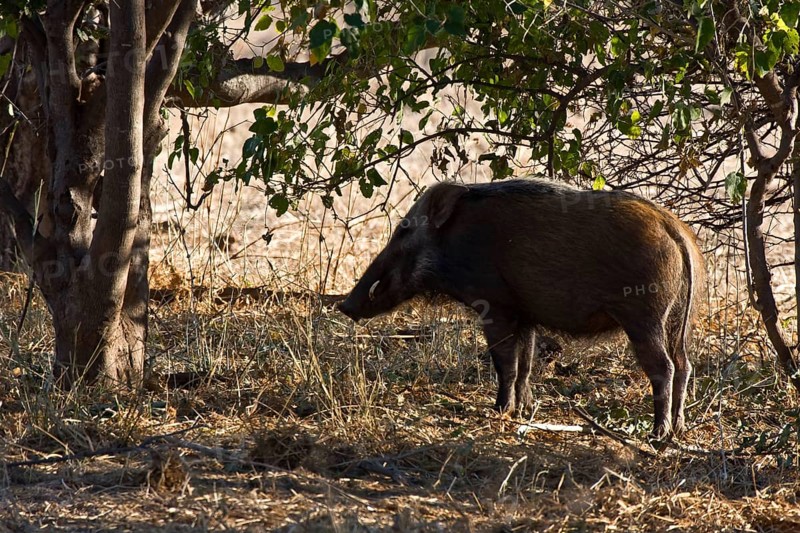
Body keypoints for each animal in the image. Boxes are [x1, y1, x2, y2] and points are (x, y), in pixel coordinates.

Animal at [338, 178, 705, 440]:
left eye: (405, 230)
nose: (345, 305)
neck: (455, 244)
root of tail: (675, 230)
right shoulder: (525, 315)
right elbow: (526, 362)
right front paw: (525, 409)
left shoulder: (495, 307)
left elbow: (506, 363)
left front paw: (499, 411)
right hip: (676, 321)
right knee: (684, 365)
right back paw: (679, 428)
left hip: (644, 318)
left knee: (663, 367)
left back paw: (659, 434)